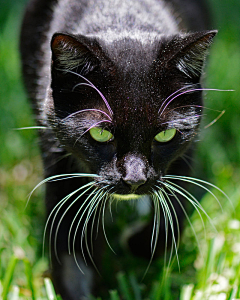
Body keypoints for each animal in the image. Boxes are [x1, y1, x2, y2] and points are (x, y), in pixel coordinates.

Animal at [20, 0, 216, 298]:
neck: (122, 18)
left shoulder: (185, 152)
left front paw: (138, 243)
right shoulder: (61, 163)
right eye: (101, 133)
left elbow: (174, 213)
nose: (135, 179)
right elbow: (72, 250)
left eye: (165, 134)